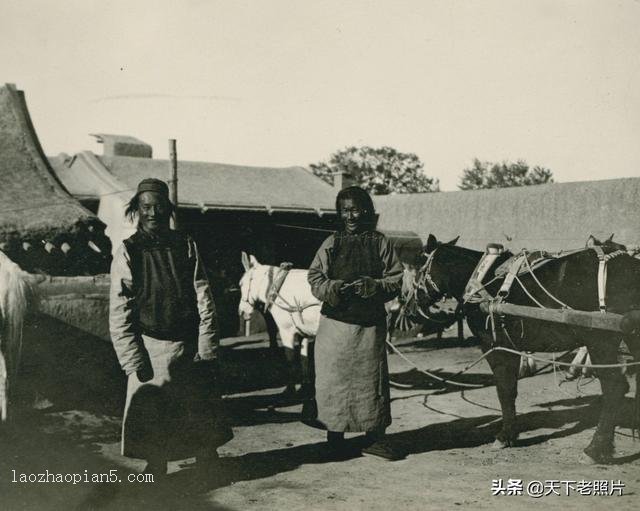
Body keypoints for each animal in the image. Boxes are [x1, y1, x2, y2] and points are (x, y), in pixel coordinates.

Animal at [404, 235, 640, 464]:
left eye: (419, 266)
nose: (410, 310)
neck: (480, 280)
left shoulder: (496, 347)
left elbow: (504, 390)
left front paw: (505, 436)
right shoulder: (512, 347)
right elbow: (511, 389)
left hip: (600, 340)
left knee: (615, 388)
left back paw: (596, 448)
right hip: (631, 337)